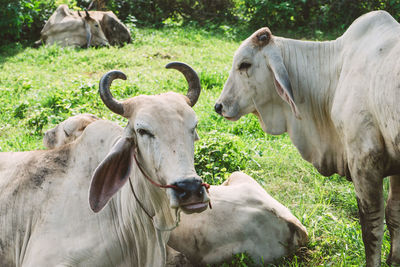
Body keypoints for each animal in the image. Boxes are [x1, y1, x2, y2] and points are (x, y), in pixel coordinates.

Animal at [214, 9, 400, 266]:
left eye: (244, 64)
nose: (219, 106)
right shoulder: (396, 167)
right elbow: (394, 215)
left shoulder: (365, 162)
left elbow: (371, 230)